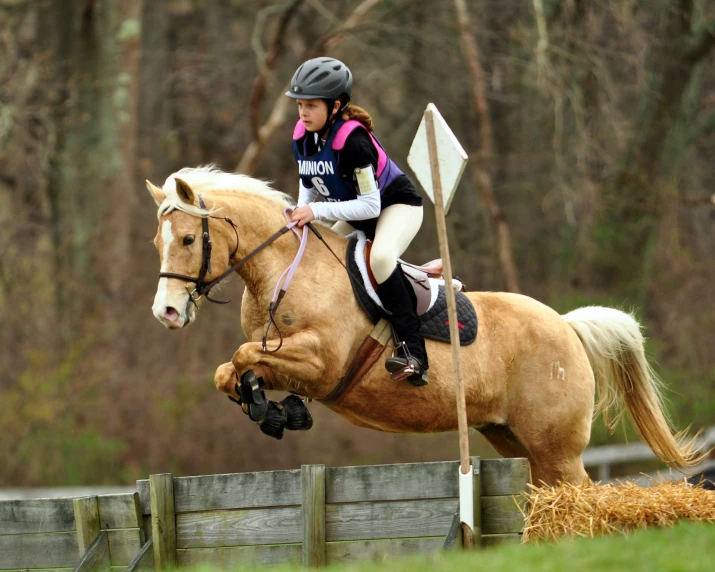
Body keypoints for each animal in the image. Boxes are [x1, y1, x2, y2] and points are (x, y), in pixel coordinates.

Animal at [148, 168, 704, 484]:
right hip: (514, 439)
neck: (285, 268)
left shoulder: (322, 360)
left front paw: (270, 409)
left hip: (558, 448)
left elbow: (243, 358)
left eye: (188, 240)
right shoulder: (289, 360)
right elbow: (230, 369)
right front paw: (271, 409)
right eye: (159, 242)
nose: (166, 314)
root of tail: (566, 327)